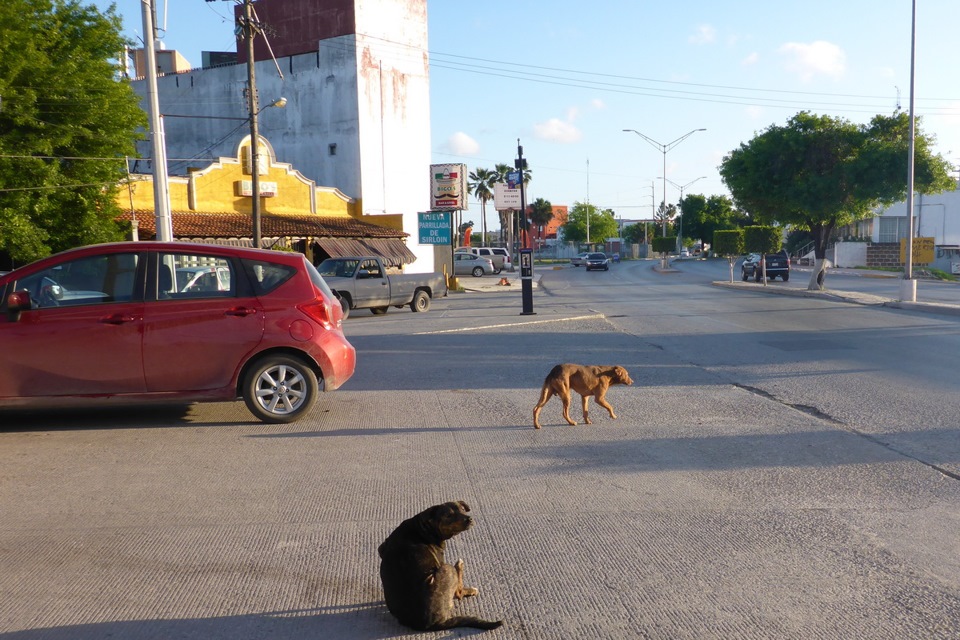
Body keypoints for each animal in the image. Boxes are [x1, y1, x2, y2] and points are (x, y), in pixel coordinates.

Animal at [378, 500, 506, 632]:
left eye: (462, 509)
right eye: (448, 516)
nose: (469, 519)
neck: (422, 527)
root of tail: (430, 625)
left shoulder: (381, 548)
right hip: (448, 569)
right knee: (458, 590)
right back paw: (463, 573)